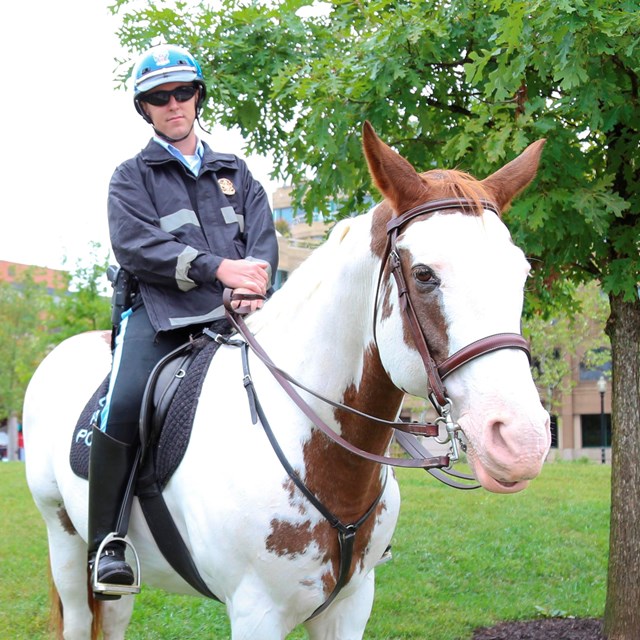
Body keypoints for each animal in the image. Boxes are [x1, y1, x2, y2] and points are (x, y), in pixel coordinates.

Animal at [23, 122, 552, 636]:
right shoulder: (256, 612)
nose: (522, 440)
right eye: (424, 274)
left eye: (522, 273)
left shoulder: (350, 607)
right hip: (65, 541)